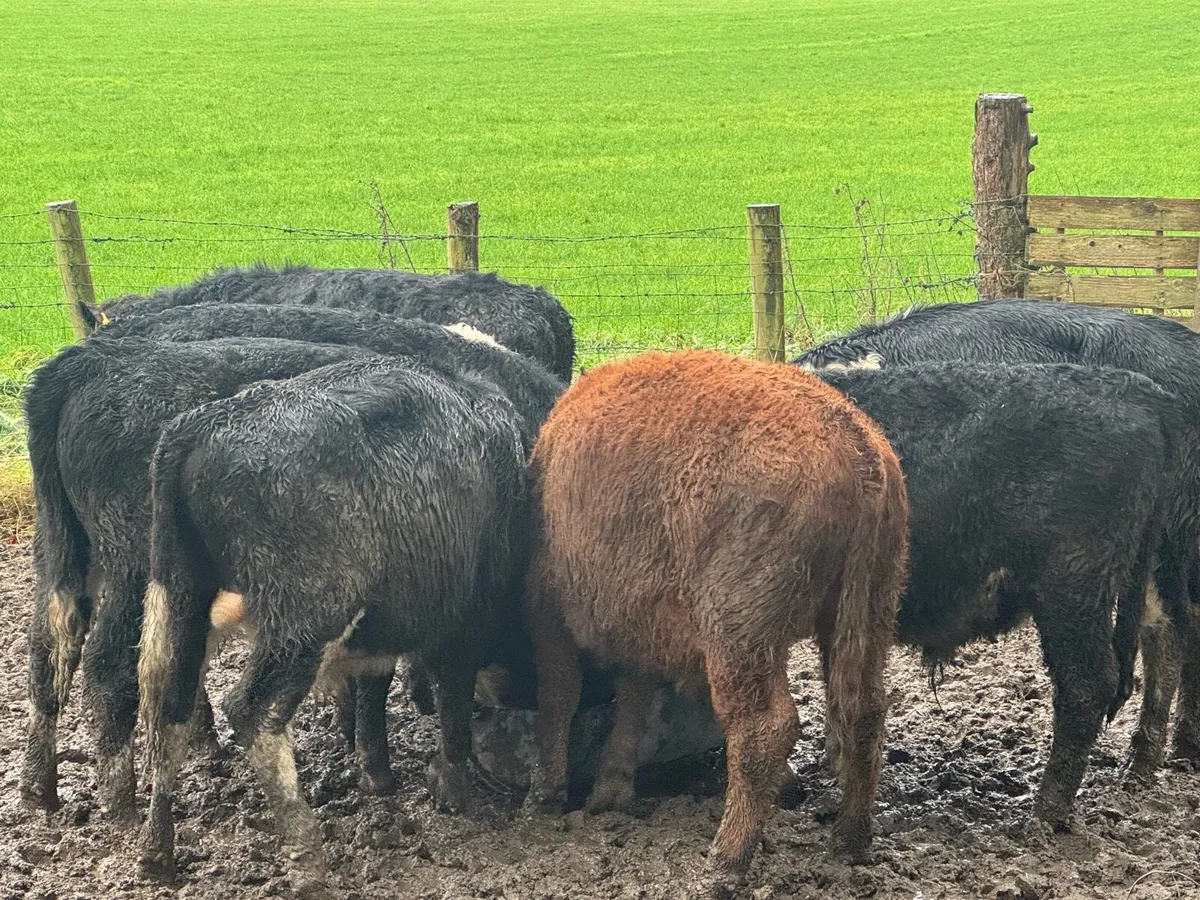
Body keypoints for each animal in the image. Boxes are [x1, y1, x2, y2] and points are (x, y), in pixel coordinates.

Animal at [137, 355, 532, 895]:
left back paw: (157, 850)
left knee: (168, 707)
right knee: (251, 710)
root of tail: (202, 425)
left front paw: (378, 776)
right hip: (302, 624)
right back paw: (307, 858)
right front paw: (455, 793)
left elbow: (373, 691)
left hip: (180, 603)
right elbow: (452, 703)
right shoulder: (465, 623)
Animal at [521, 349, 909, 891]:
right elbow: (633, 698)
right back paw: (851, 839)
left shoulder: (548, 610)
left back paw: (726, 858)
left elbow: (559, 696)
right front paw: (609, 792)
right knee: (865, 711)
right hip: (869, 612)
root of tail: (859, 448)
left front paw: (547, 796)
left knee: (764, 729)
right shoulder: (638, 625)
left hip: (739, 633)